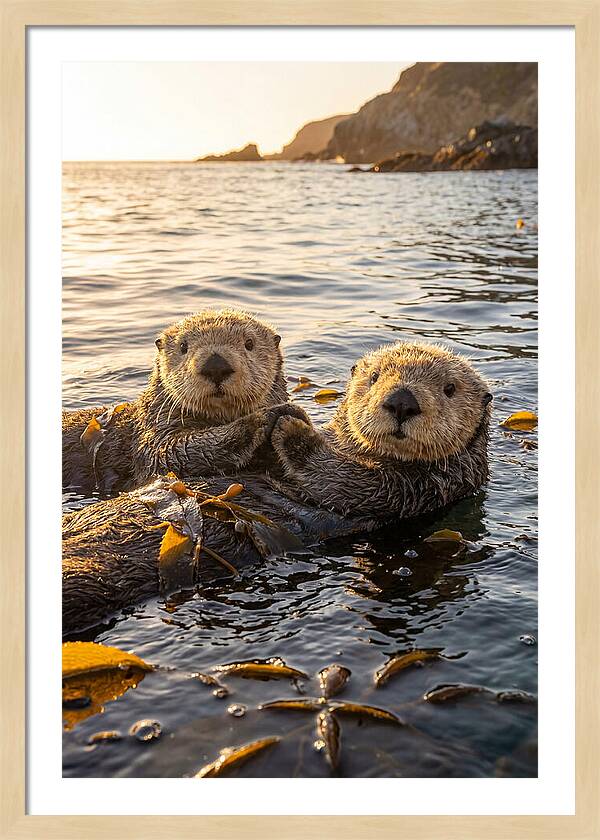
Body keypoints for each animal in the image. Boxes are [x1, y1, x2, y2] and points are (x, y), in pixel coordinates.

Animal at [63, 309, 307, 494]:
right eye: (183, 347)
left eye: (249, 343)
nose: (215, 365)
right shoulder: (154, 435)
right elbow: (170, 453)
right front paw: (267, 417)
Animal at [63, 342, 492, 635]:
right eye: (374, 379)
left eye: (450, 389)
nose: (401, 401)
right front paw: (276, 415)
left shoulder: (418, 489)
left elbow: (342, 479)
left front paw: (291, 426)